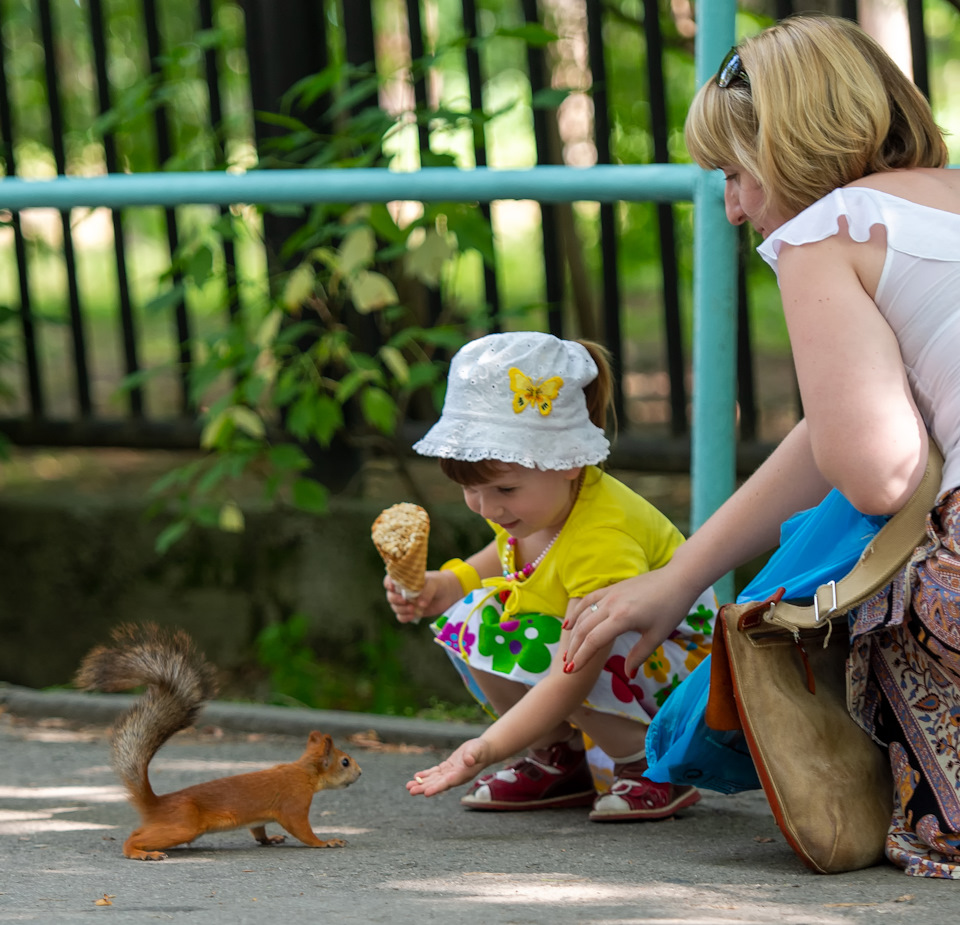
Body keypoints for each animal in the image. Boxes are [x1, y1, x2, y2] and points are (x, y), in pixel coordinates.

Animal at [75, 620, 360, 860]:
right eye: (345, 762)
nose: (360, 773)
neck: (304, 771)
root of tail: (157, 804)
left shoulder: (262, 818)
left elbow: (258, 829)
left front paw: (270, 839)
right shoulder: (295, 803)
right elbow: (303, 830)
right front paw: (326, 842)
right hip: (182, 827)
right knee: (134, 839)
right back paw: (141, 853)